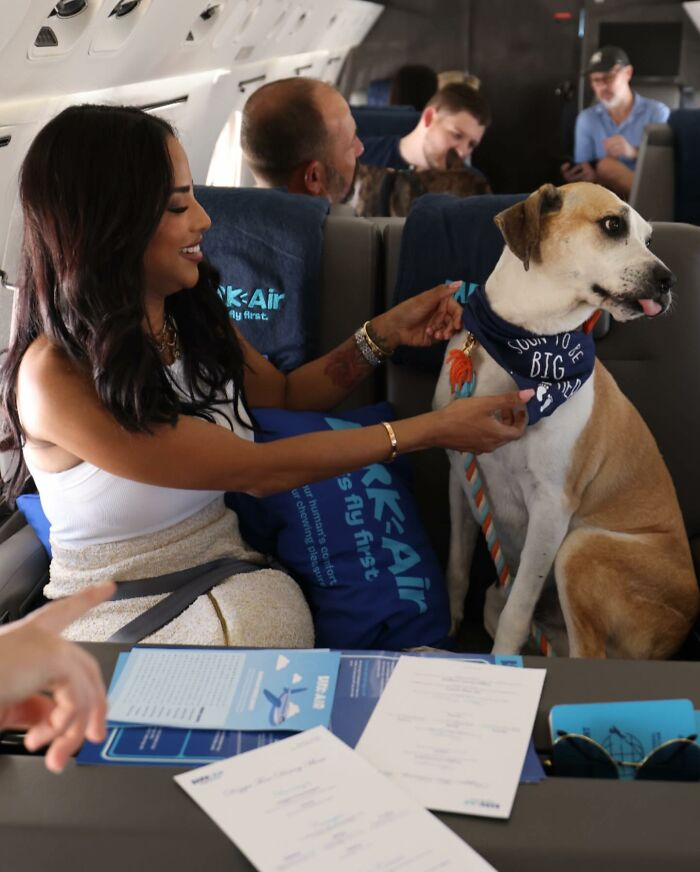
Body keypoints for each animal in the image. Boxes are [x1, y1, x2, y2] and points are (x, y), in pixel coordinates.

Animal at [434, 184, 696, 656]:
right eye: (613, 224)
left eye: (649, 238)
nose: (668, 280)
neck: (525, 341)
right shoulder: (462, 477)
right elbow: (458, 567)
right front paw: (448, 630)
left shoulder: (551, 510)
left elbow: (517, 613)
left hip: (580, 547)